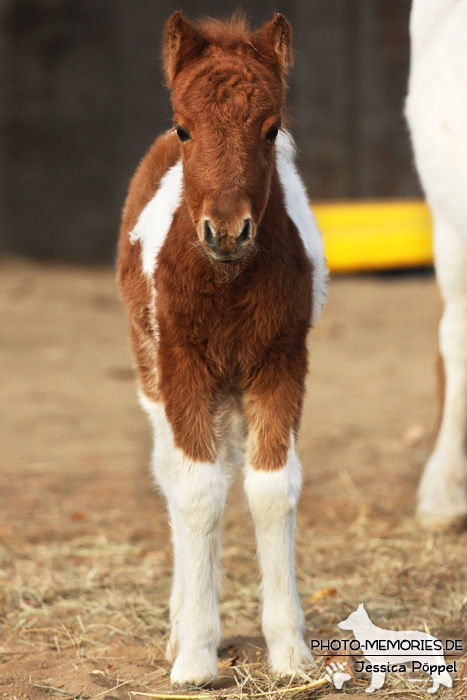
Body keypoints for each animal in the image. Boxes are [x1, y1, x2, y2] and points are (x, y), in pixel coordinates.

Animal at [119, 10, 328, 688]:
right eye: (188, 128)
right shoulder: (181, 366)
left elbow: (270, 487)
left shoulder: (281, 362)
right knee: (171, 470)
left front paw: (291, 653)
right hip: (153, 373)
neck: (229, 283)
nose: (228, 232)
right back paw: (178, 623)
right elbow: (198, 489)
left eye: (272, 128)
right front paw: (194, 657)